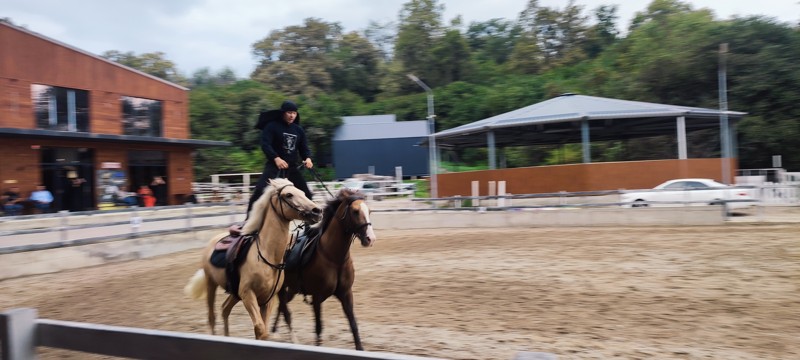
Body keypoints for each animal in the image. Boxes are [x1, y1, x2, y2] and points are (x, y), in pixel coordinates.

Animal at [186, 179, 324, 342]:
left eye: (302, 192)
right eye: (289, 195)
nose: (317, 211)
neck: (267, 256)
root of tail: (214, 241)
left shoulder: (268, 299)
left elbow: (263, 331)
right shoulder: (248, 294)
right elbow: (260, 328)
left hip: (234, 293)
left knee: (225, 309)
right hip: (211, 284)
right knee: (212, 317)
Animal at [272, 188, 378, 348]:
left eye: (369, 211)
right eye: (355, 211)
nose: (370, 239)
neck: (335, 259)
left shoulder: (346, 294)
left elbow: (353, 325)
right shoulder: (317, 297)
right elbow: (318, 328)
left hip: (292, 289)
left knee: (281, 306)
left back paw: (274, 330)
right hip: (282, 288)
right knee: (284, 309)